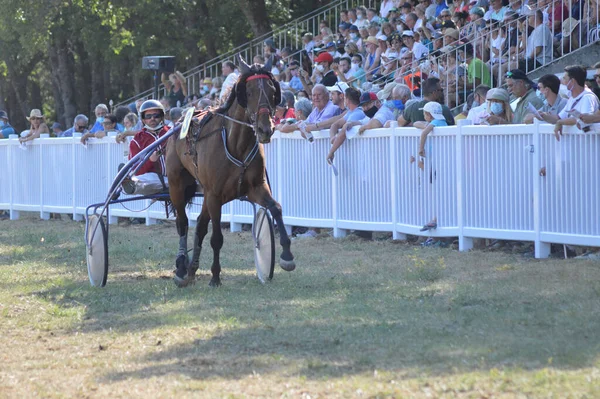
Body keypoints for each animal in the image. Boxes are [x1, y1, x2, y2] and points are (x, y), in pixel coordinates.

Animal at [165, 56, 296, 288]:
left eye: (272, 90)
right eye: (249, 92)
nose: (265, 129)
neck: (237, 144)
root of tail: (178, 123)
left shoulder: (256, 188)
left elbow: (276, 208)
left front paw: (287, 256)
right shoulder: (215, 195)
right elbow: (217, 238)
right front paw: (215, 276)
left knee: (200, 225)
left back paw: (191, 268)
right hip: (177, 185)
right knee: (183, 223)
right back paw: (181, 267)